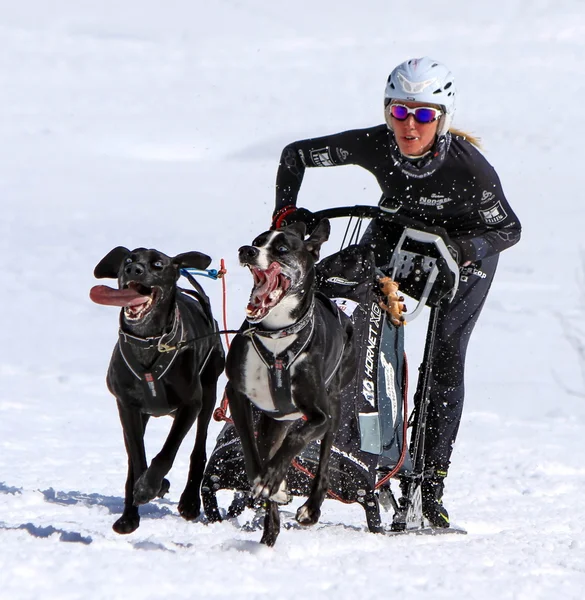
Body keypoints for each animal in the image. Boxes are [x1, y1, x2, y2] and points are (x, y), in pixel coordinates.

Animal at [90, 248, 225, 536]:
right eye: (128, 260)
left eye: (159, 264)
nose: (134, 270)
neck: (149, 342)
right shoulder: (127, 406)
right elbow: (136, 458)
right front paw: (137, 504)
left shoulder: (190, 404)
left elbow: (167, 453)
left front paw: (150, 485)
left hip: (209, 391)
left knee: (199, 449)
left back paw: (190, 501)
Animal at [224, 221, 352, 548]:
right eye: (257, 241)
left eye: (281, 249)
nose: (247, 250)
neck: (277, 335)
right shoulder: (237, 394)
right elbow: (251, 450)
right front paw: (270, 486)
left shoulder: (319, 415)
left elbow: (297, 440)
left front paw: (272, 481)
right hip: (274, 422)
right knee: (270, 447)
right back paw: (271, 525)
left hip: (334, 405)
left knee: (323, 462)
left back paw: (310, 509)